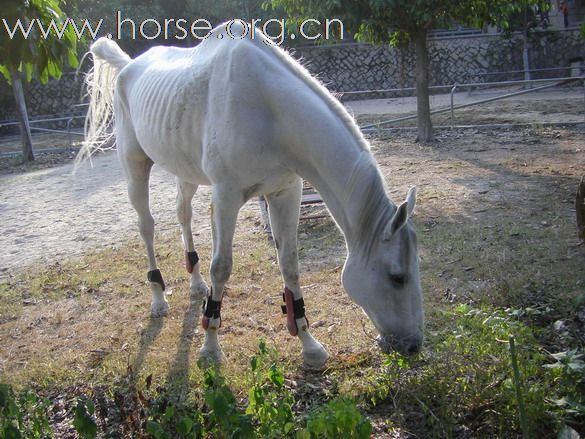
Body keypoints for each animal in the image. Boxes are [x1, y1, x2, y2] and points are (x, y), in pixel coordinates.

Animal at [80, 22, 422, 370]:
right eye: (397, 277)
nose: (413, 346)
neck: (270, 112)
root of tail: (128, 66)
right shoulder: (227, 197)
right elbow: (222, 267)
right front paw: (210, 348)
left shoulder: (285, 192)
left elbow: (289, 264)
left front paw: (309, 345)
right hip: (135, 166)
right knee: (146, 226)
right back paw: (159, 299)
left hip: (186, 172)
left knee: (183, 214)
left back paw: (196, 284)